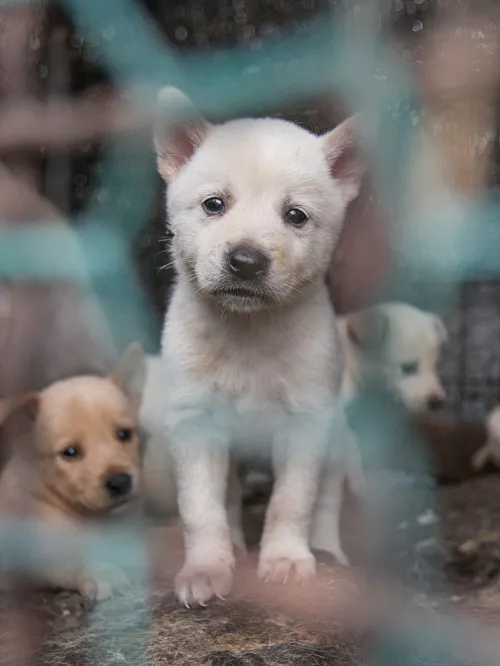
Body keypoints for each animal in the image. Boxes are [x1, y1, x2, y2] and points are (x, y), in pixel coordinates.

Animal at [154, 85, 366, 604]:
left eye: (296, 215)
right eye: (214, 204)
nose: (246, 261)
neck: (248, 333)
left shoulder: (307, 423)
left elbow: (292, 503)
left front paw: (287, 560)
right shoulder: (195, 423)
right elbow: (202, 509)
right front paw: (207, 568)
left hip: (337, 437)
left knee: (327, 501)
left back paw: (328, 550)